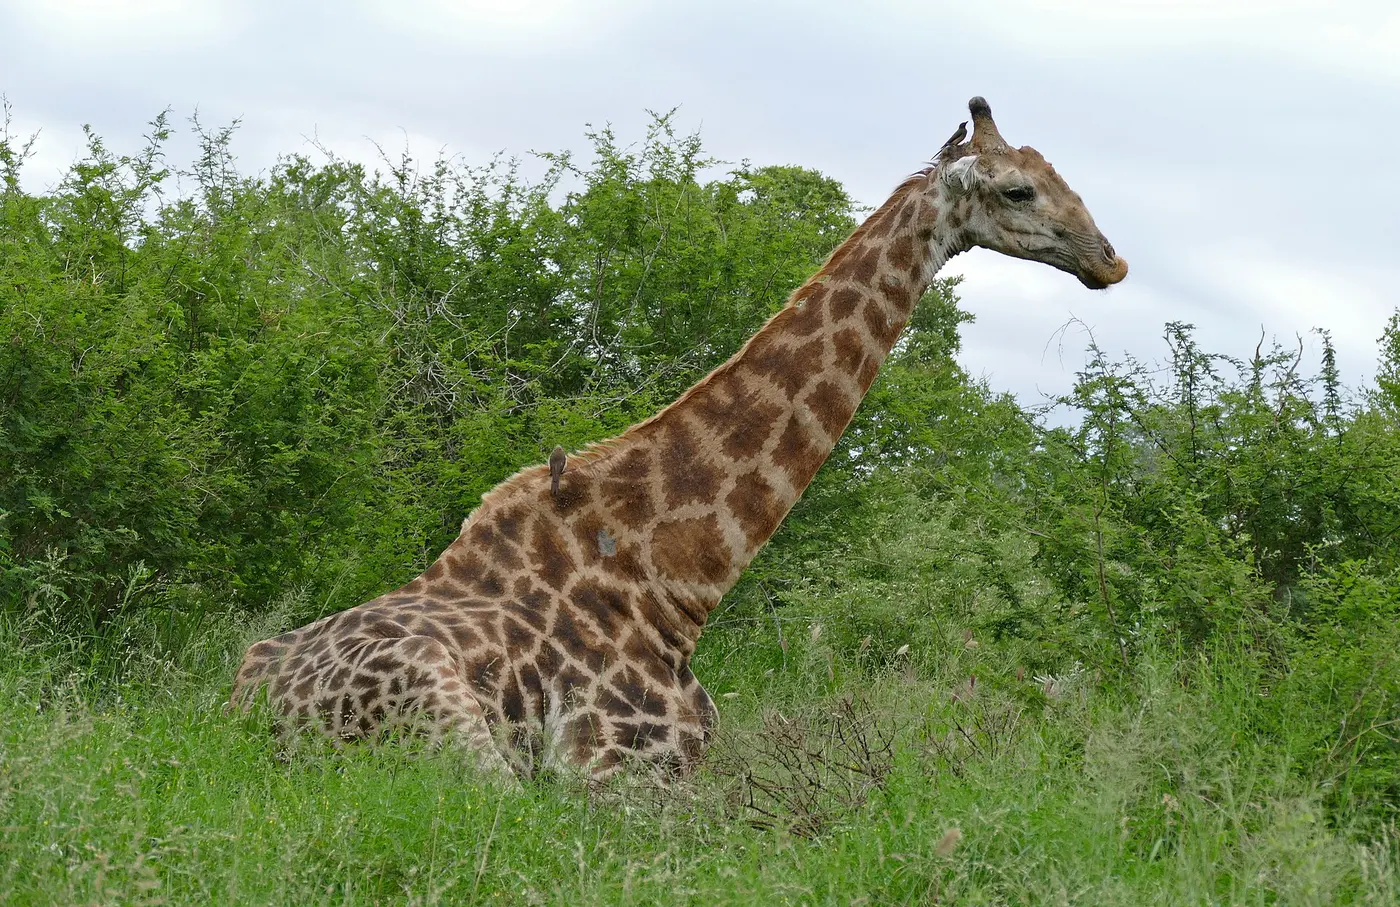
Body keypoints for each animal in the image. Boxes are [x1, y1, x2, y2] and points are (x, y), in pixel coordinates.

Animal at [231, 97, 1128, 781]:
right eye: (1018, 190)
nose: (1110, 261)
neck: (676, 581)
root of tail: (241, 705)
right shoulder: (616, 777)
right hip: (449, 729)